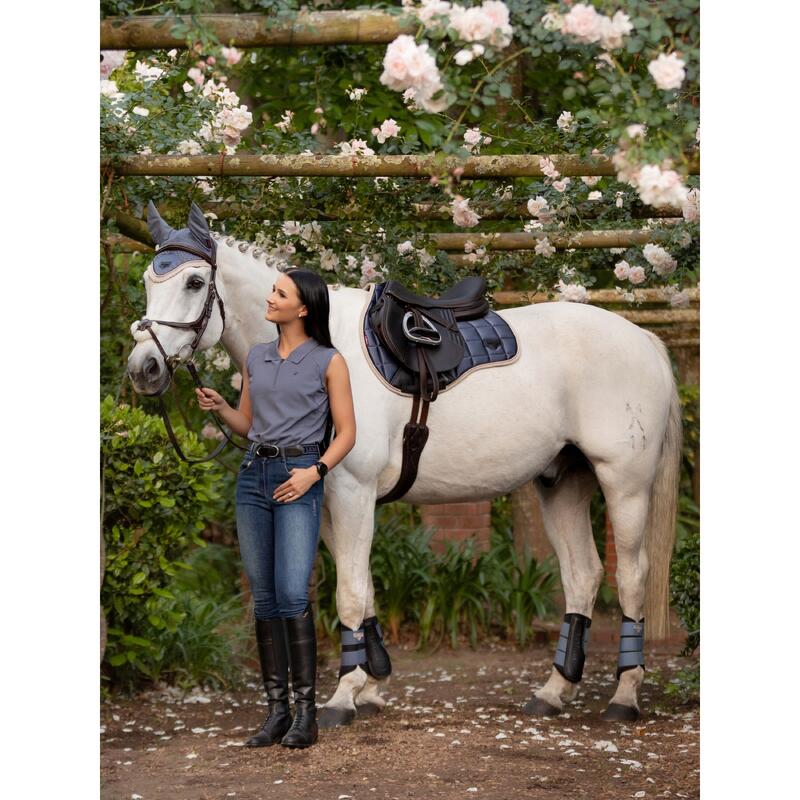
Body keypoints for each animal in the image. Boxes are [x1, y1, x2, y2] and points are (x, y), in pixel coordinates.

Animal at [126, 209, 680, 728]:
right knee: (582, 575)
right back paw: (553, 692)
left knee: (632, 577)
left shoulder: (352, 492)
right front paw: (370, 687)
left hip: (624, 484)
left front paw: (344, 696)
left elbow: (350, 594)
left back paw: (624, 696)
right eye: (150, 281)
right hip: (562, 483)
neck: (322, 345)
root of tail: (643, 340)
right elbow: (364, 588)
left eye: (195, 283)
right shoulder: (327, 501)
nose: (142, 369)